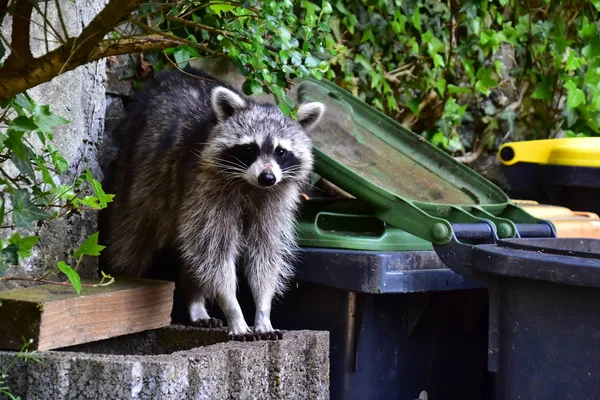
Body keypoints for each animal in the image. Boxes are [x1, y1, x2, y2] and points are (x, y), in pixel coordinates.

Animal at [101, 67, 326, 340]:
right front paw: (234, 311)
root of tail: (171, 76)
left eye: (281, 151)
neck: (249, 185)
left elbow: (265, 254)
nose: (267, 177)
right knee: (132, 239)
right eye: (249, 149)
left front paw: (263, 310)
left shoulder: (273, 203)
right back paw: (128, 277)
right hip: (137, 173)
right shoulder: (205, 190)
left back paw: (195, 302)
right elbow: (216, 255)